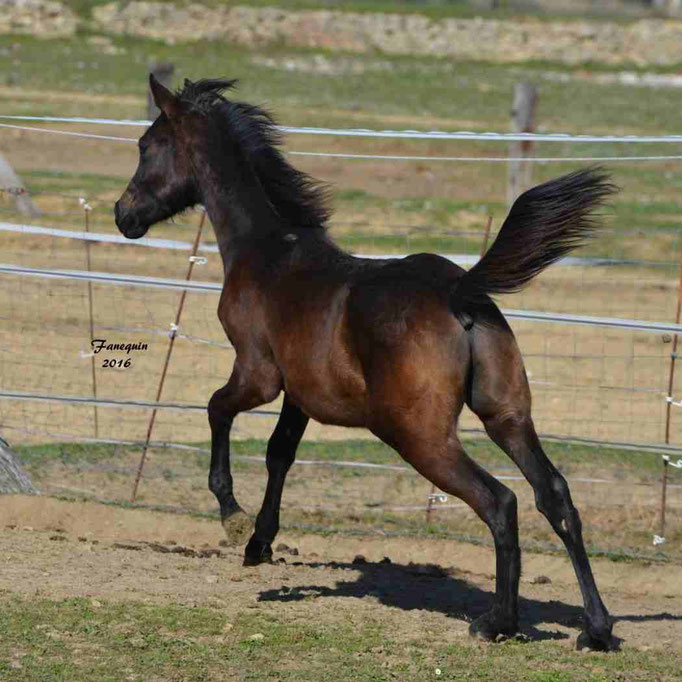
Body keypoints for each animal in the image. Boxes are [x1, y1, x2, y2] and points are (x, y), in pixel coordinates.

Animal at [115, 74, 616, 648]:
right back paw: (596, 629)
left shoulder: (259, 374)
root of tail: (461, 292)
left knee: (500, 502)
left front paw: (234, 519)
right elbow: (279, 453)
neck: (267, 250)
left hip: (418, 436)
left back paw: (497, 622)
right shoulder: (301, 393)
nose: (122, 215)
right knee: (555, 496)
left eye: (146, 145)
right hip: (507, 416)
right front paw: (259, 544)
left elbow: (216, 411)